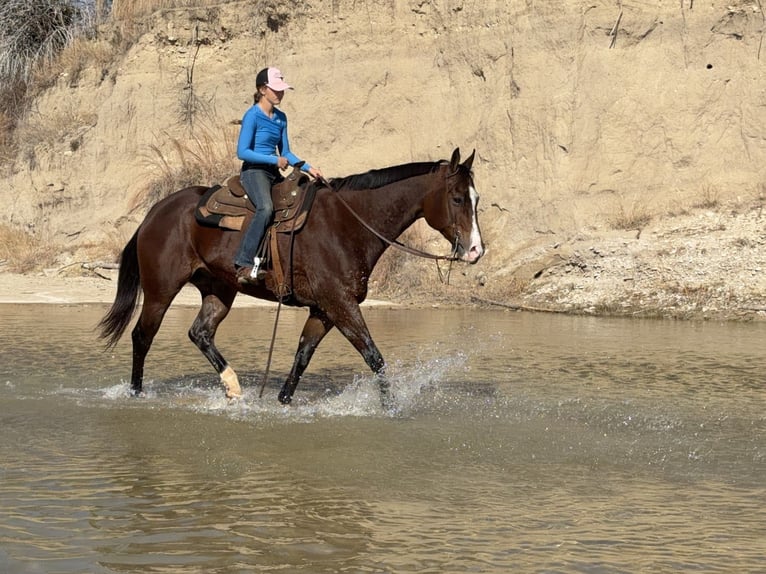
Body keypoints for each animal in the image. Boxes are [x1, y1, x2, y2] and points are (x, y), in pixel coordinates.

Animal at [98, 147, 484, 406]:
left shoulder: (324, 310)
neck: (348, 224)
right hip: (161, 290)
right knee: (142, 336)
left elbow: (302, 357)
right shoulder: (340, 305)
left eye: (476, 199)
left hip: (219, 289)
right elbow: (374, 358)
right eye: (457, 198)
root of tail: (155, 212)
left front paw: (282, 402)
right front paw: (391, 409)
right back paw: (136, 393)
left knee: (201, 333)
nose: (476, 250)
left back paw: (233, 387)